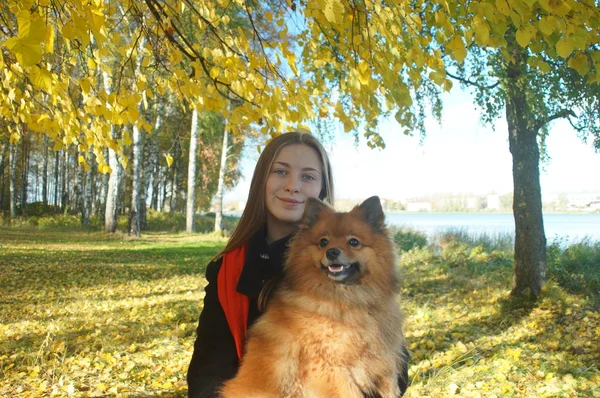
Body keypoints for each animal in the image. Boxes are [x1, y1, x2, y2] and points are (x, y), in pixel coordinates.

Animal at [220, 197, 408, 398]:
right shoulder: (329, 367)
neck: (346, 299)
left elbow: (389, 381)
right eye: (323, 242)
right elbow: (349, 392)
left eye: (353, 242)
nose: (332, 252)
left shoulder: (382, 357)